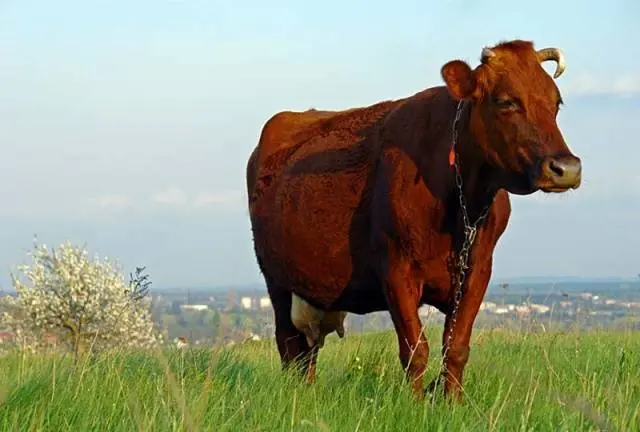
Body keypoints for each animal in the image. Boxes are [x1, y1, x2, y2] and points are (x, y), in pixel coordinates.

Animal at [245, 38, 580, 400]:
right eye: (506, 101)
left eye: (556, 102)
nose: (566, 168)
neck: (460, 206)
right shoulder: (396, 267)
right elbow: (415, 350)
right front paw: (416, 405)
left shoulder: (478, 271)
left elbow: (456, 347)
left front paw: (452, 403)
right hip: (277, 280)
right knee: (289, 346)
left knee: (308, 353)